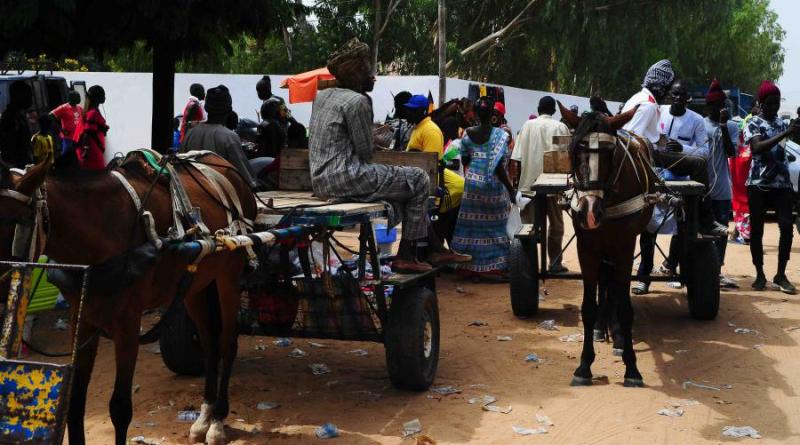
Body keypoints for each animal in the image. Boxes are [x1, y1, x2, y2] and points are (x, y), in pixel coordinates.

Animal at [0, 152, 255, 440]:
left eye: (14, 223)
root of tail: (226, 164)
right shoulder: (83, 317)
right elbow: (75, 402)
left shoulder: (127, 322)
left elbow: (120, 408)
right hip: (196, 285)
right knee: (210, 342)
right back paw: (205, 415)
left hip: (228, 276)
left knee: (227, 343)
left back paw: (218, 419)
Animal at [556, 102, 656, 386]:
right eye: (574, 150)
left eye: (611, 153)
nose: (589, 212)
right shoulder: (587, 248)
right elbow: (588, 307)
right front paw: (583, 366)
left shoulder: (624, 247)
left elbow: (624, 307)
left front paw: (631, 367)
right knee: (605, 280)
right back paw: (602, 328)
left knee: (612, 285)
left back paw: (618, 336)